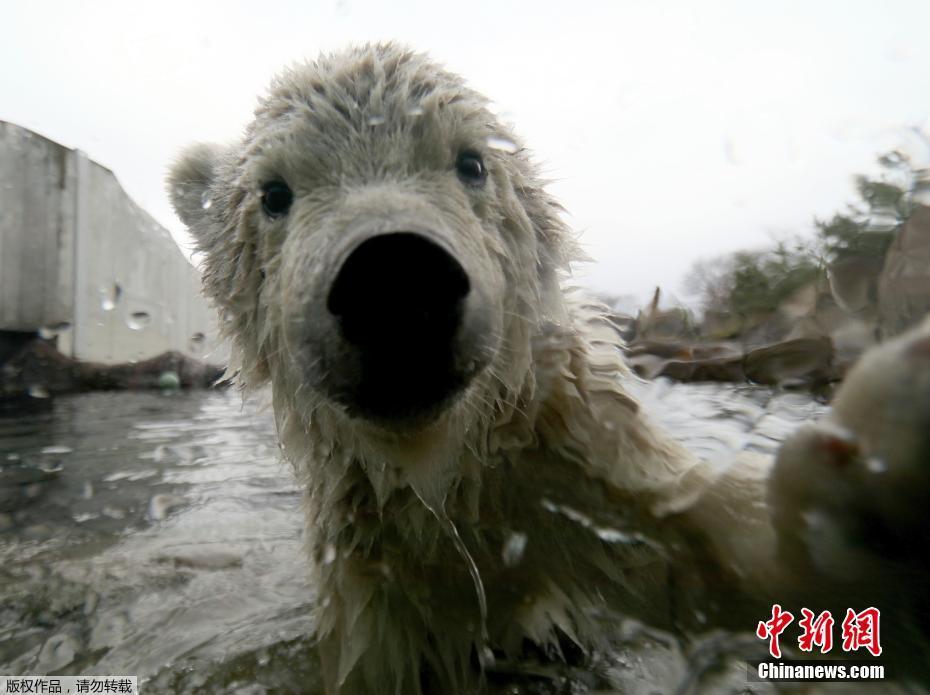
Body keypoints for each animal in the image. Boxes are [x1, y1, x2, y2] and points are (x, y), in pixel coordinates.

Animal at [167, 44, 928, 695]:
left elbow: (708, 563)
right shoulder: (370, 564)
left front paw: (875, 469)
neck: (443, 470)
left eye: (472, 163)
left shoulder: (571, 459)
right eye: (273, 193)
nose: (394, 280)